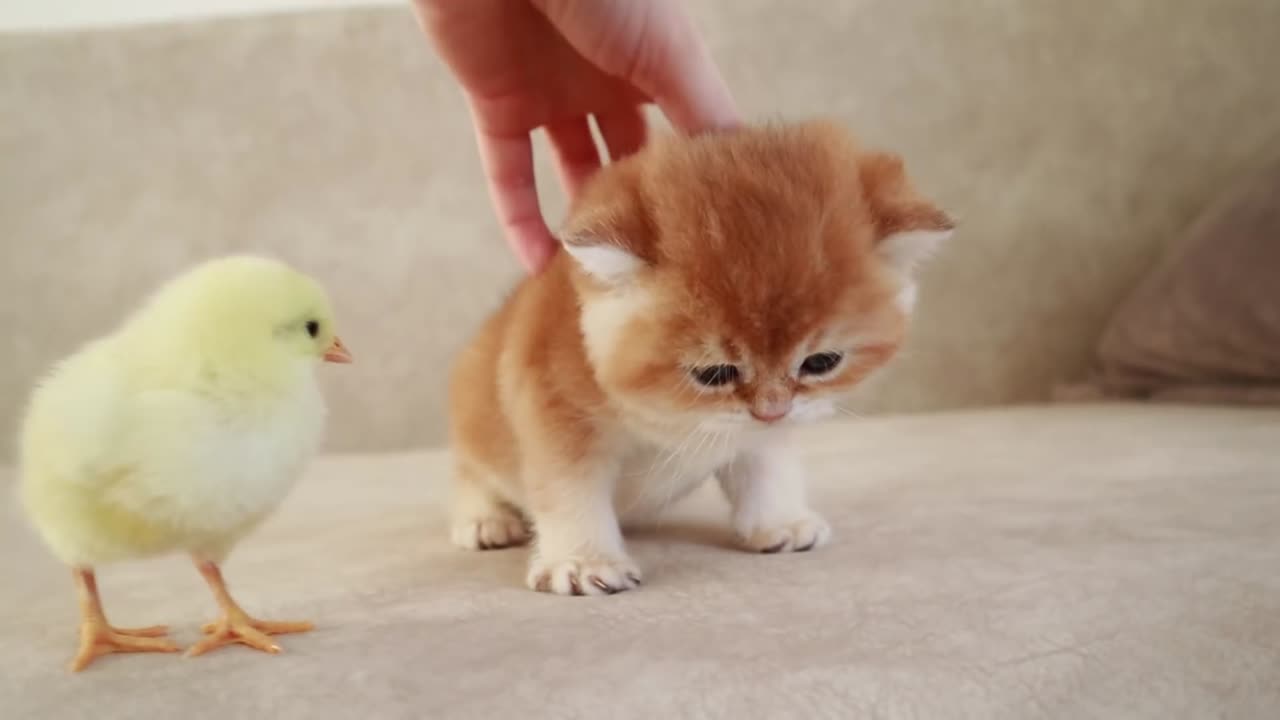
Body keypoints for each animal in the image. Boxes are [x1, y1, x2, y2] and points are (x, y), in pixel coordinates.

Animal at [445, 121, 957, 594]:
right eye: (714, 374)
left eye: (820, 363)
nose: (772, 410)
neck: (669, 414)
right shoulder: (553, 404)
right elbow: (568, 489)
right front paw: (583, 561)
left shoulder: (759, 432)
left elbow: (765, 463)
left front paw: (779, 522)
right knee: (471, 471)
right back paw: (485, 520)